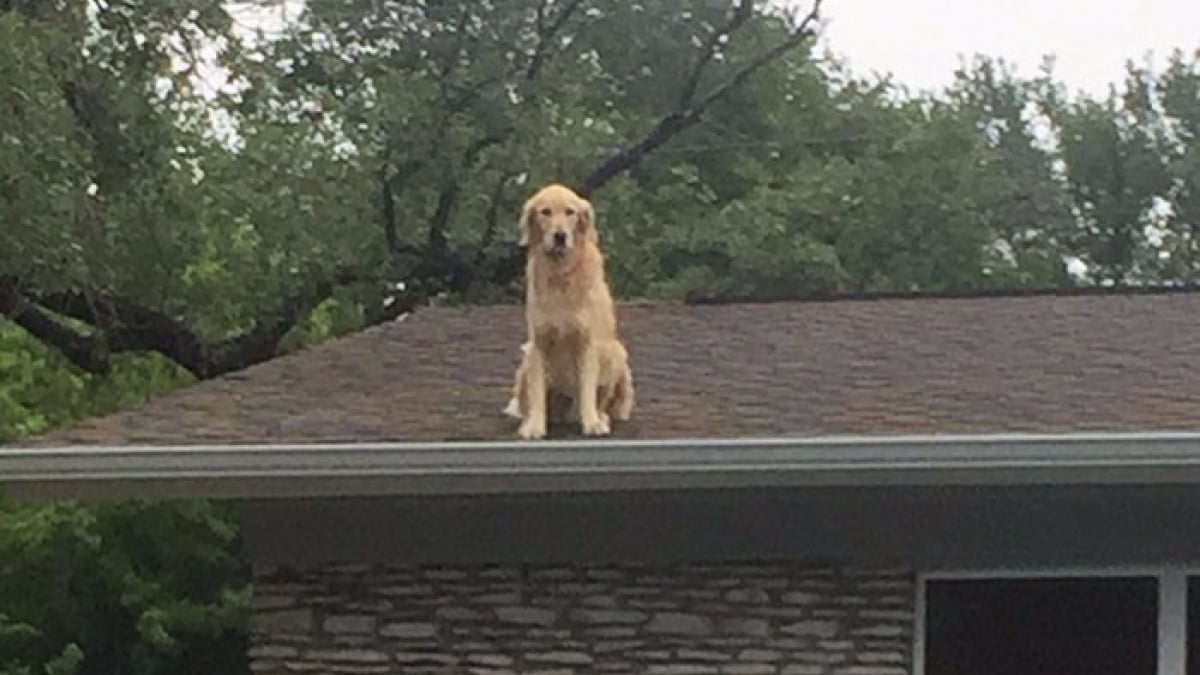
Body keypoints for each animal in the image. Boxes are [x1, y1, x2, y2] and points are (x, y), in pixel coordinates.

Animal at [508, 181, 633, 439]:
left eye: (570, 212)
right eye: (545, 212)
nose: (560, 236)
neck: (560, 275)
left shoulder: (587, 342)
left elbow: (587, 389)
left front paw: (592, 423)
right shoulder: (539, 342)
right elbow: (537, 393)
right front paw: (534, 426)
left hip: (615, 352)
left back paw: (600, 417)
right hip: (525, 359)